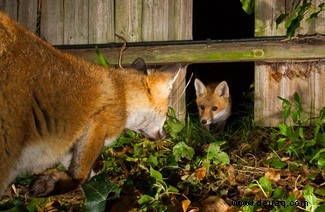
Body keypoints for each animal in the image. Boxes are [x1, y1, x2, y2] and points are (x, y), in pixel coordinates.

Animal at [0, 11, 180, 197]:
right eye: (166, 115)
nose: (165, 135)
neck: (122, 95)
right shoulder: (98, 123)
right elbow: (80, 176)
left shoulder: (66, 146)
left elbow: (87, 176)